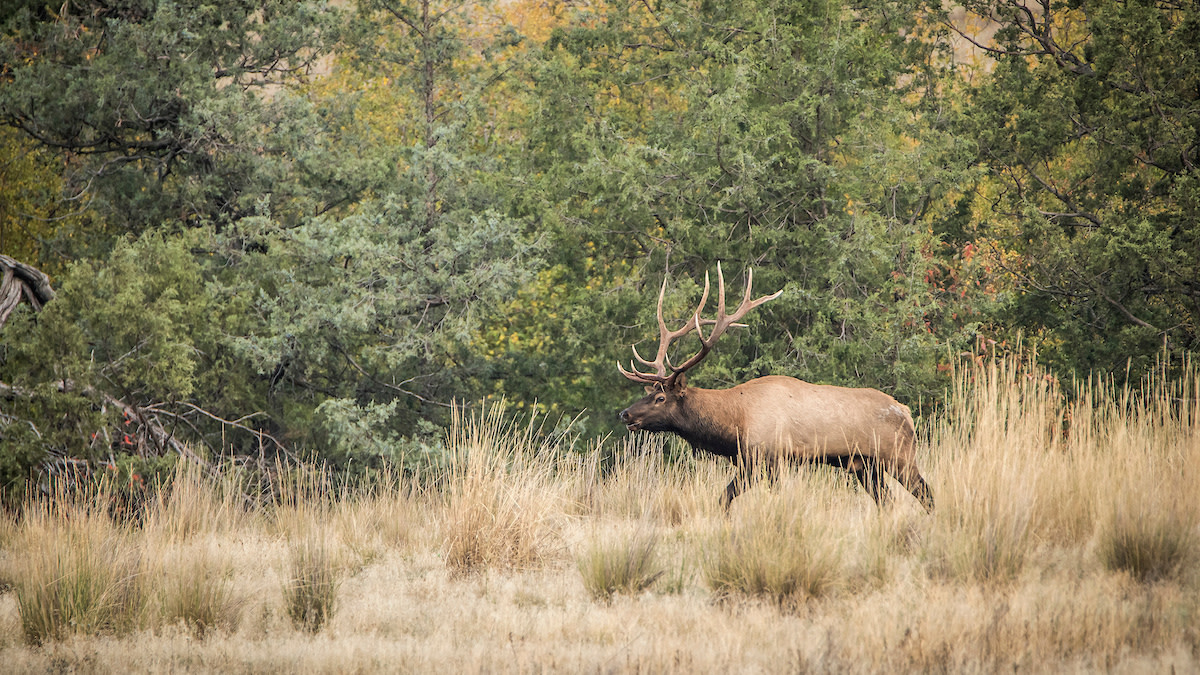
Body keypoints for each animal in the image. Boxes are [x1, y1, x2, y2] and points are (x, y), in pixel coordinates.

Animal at [617, 264, 935, 512]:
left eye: (660, 397)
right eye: (647, 393)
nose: (625, 414)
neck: (735, 424)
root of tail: (907, 412)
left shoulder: (772, 458)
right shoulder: (747, 463)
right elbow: (723, 499)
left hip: (900, 457)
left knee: (927, 494)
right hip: (866, 467)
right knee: (888, 502)